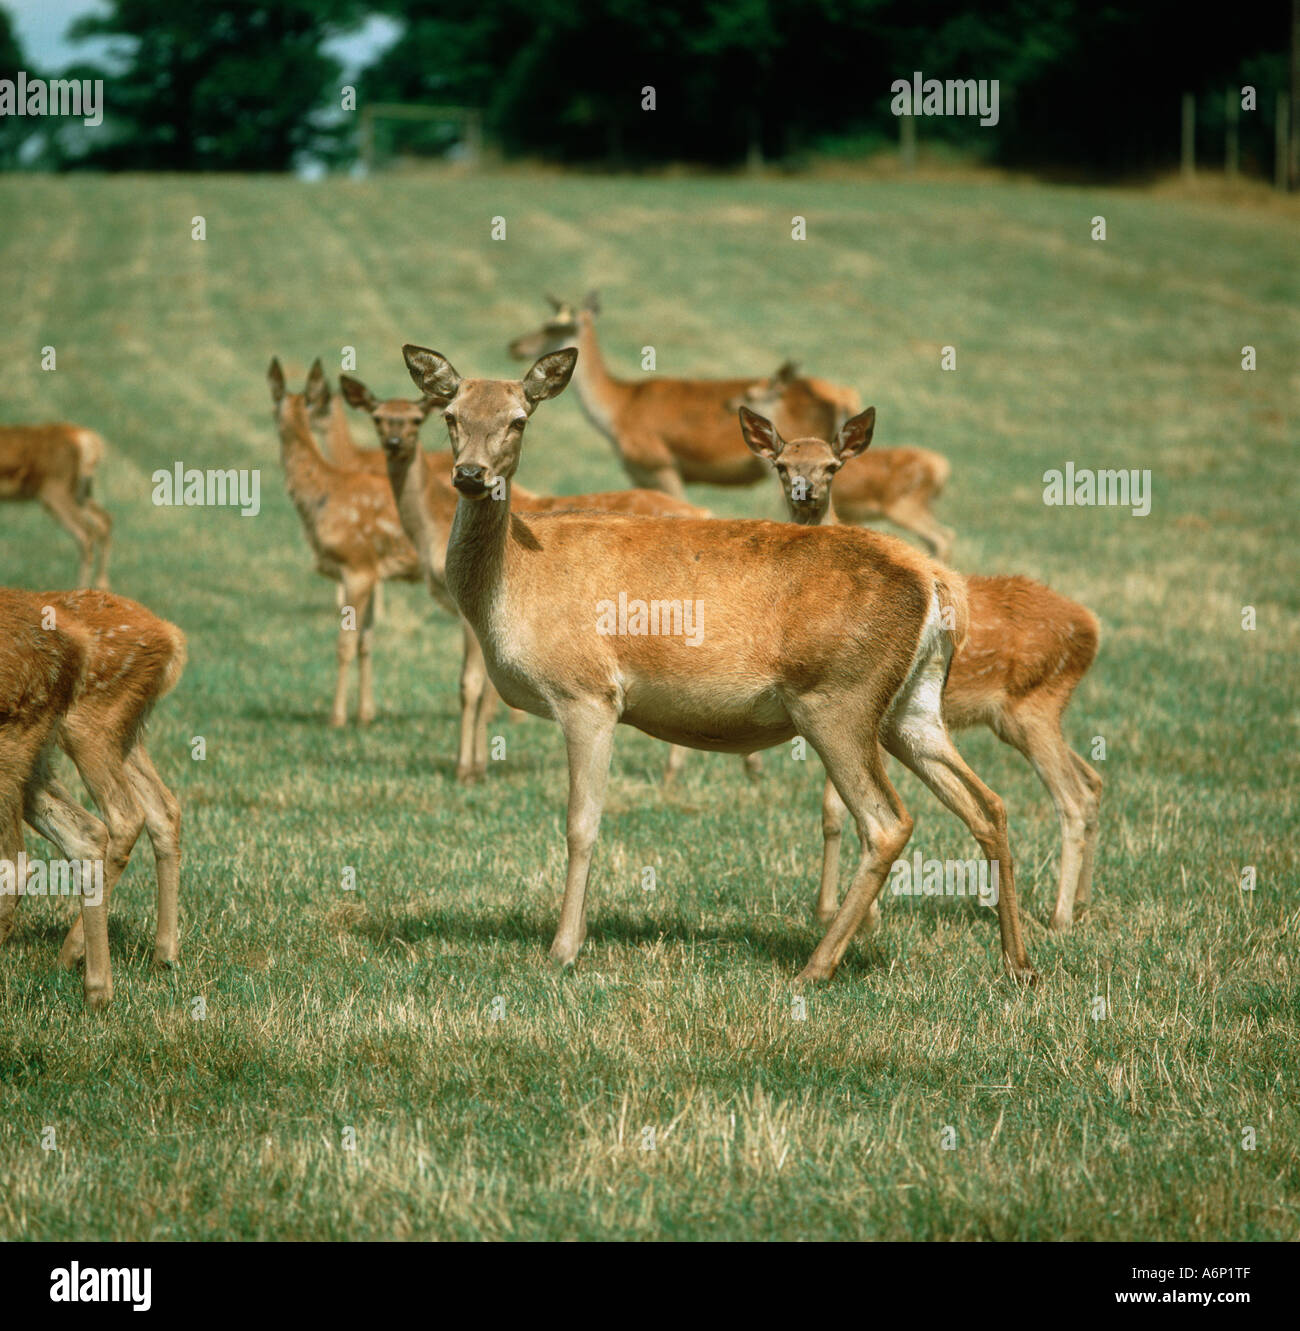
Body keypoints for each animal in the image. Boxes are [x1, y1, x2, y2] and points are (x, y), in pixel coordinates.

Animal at [0, 423, 113, 585]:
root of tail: (89, 440)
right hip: (79, 493)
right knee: (104, 520)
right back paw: (101, 584)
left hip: (55, 491)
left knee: (86, 533)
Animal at [505, 291, 862, 500]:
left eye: (553, 327)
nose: (515, 345)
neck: (617, 412)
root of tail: (846, 397)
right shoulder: (637, 474)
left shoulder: (659, 463)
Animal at [729, 362, 952, 559]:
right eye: (781, 465)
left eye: (831, 466)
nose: (803, 489)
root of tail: (942, 467)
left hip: (905, 505)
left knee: (941, 536)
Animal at [734, 404, 1101, 937]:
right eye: (782, 465)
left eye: (832, 466)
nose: (805, 491)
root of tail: (1092, 626)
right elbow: (830, 810)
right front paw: (833, 911)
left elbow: (847, 809)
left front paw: (860, 917)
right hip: (1032, 713)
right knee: (1093, 783)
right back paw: (1083, 902)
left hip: (1031, 709)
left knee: (1072, 799)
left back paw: (1059, 916)